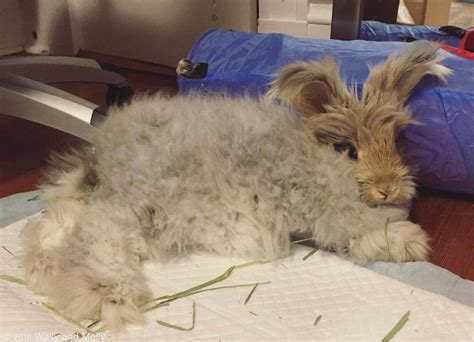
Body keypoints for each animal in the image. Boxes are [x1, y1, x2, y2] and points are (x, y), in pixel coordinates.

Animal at [22, 41, 450, 330]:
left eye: (395, 143)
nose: (389, 188)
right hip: (132, 209)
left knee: (53, 225)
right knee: (94, 237)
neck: (309, 155)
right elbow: (360, 224)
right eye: (349, 151)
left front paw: (403, 238)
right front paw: (413, 241)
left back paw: (42, 272)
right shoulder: (329, 210)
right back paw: (108, 295)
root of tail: (99, 158)